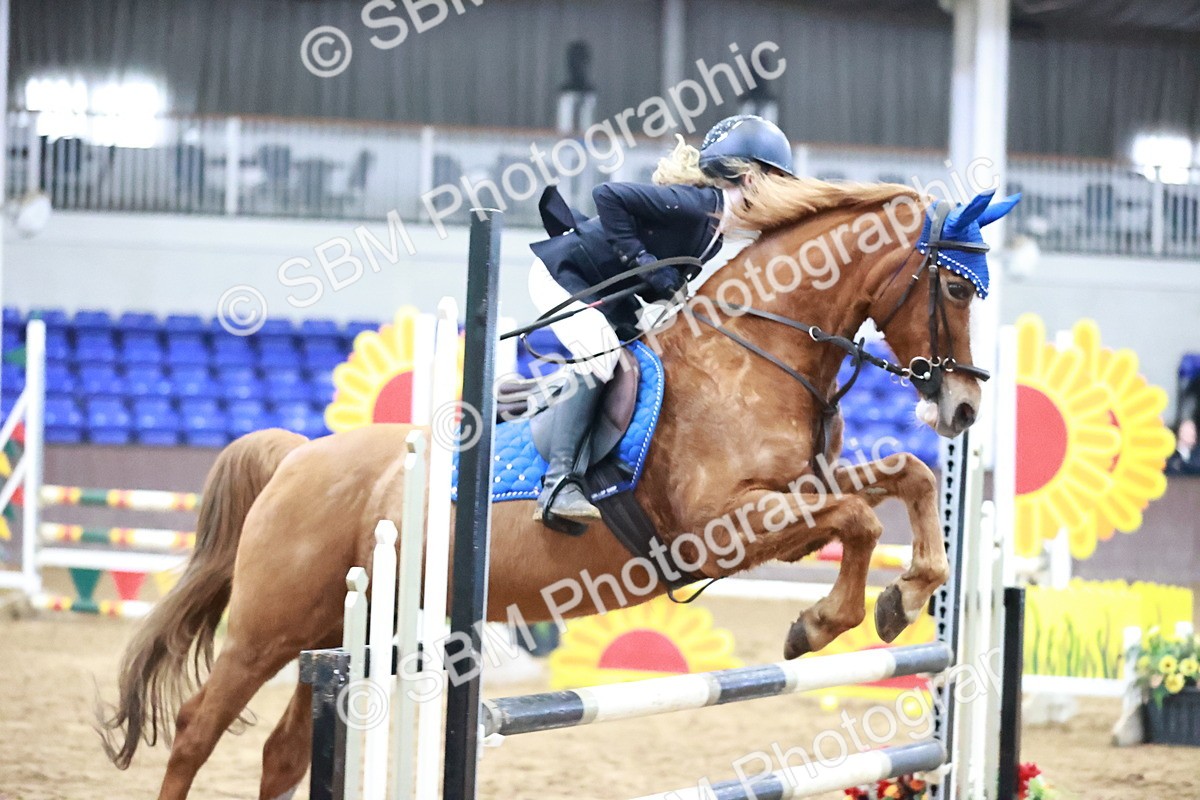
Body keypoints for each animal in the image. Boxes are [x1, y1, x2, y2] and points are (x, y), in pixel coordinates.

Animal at [98, 179, 1008, 800]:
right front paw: (823, 622)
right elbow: (858, 518)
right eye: (955, 288)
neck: (759, 353)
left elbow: (904, 480)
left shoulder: (791, 491)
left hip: (356, 628)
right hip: (269, 628)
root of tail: (298, 460)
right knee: (196, 728)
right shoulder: (719, 525)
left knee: (285, 749)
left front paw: (905, 595)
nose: (965, 408)